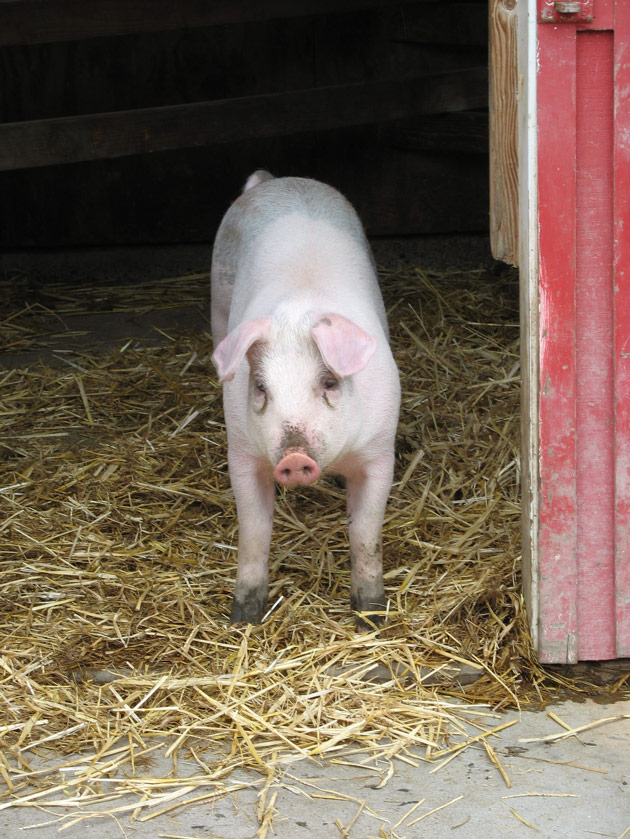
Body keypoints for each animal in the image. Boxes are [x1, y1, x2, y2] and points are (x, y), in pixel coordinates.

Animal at [211, 172, 400, 632]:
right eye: (261, 387)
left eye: (328, 381)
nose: (294, 457)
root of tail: (277, 180)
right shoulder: (241, 451)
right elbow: (254, 531)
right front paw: (244, 620)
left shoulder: (380, 452)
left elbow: (365, 533)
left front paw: (370, 620)